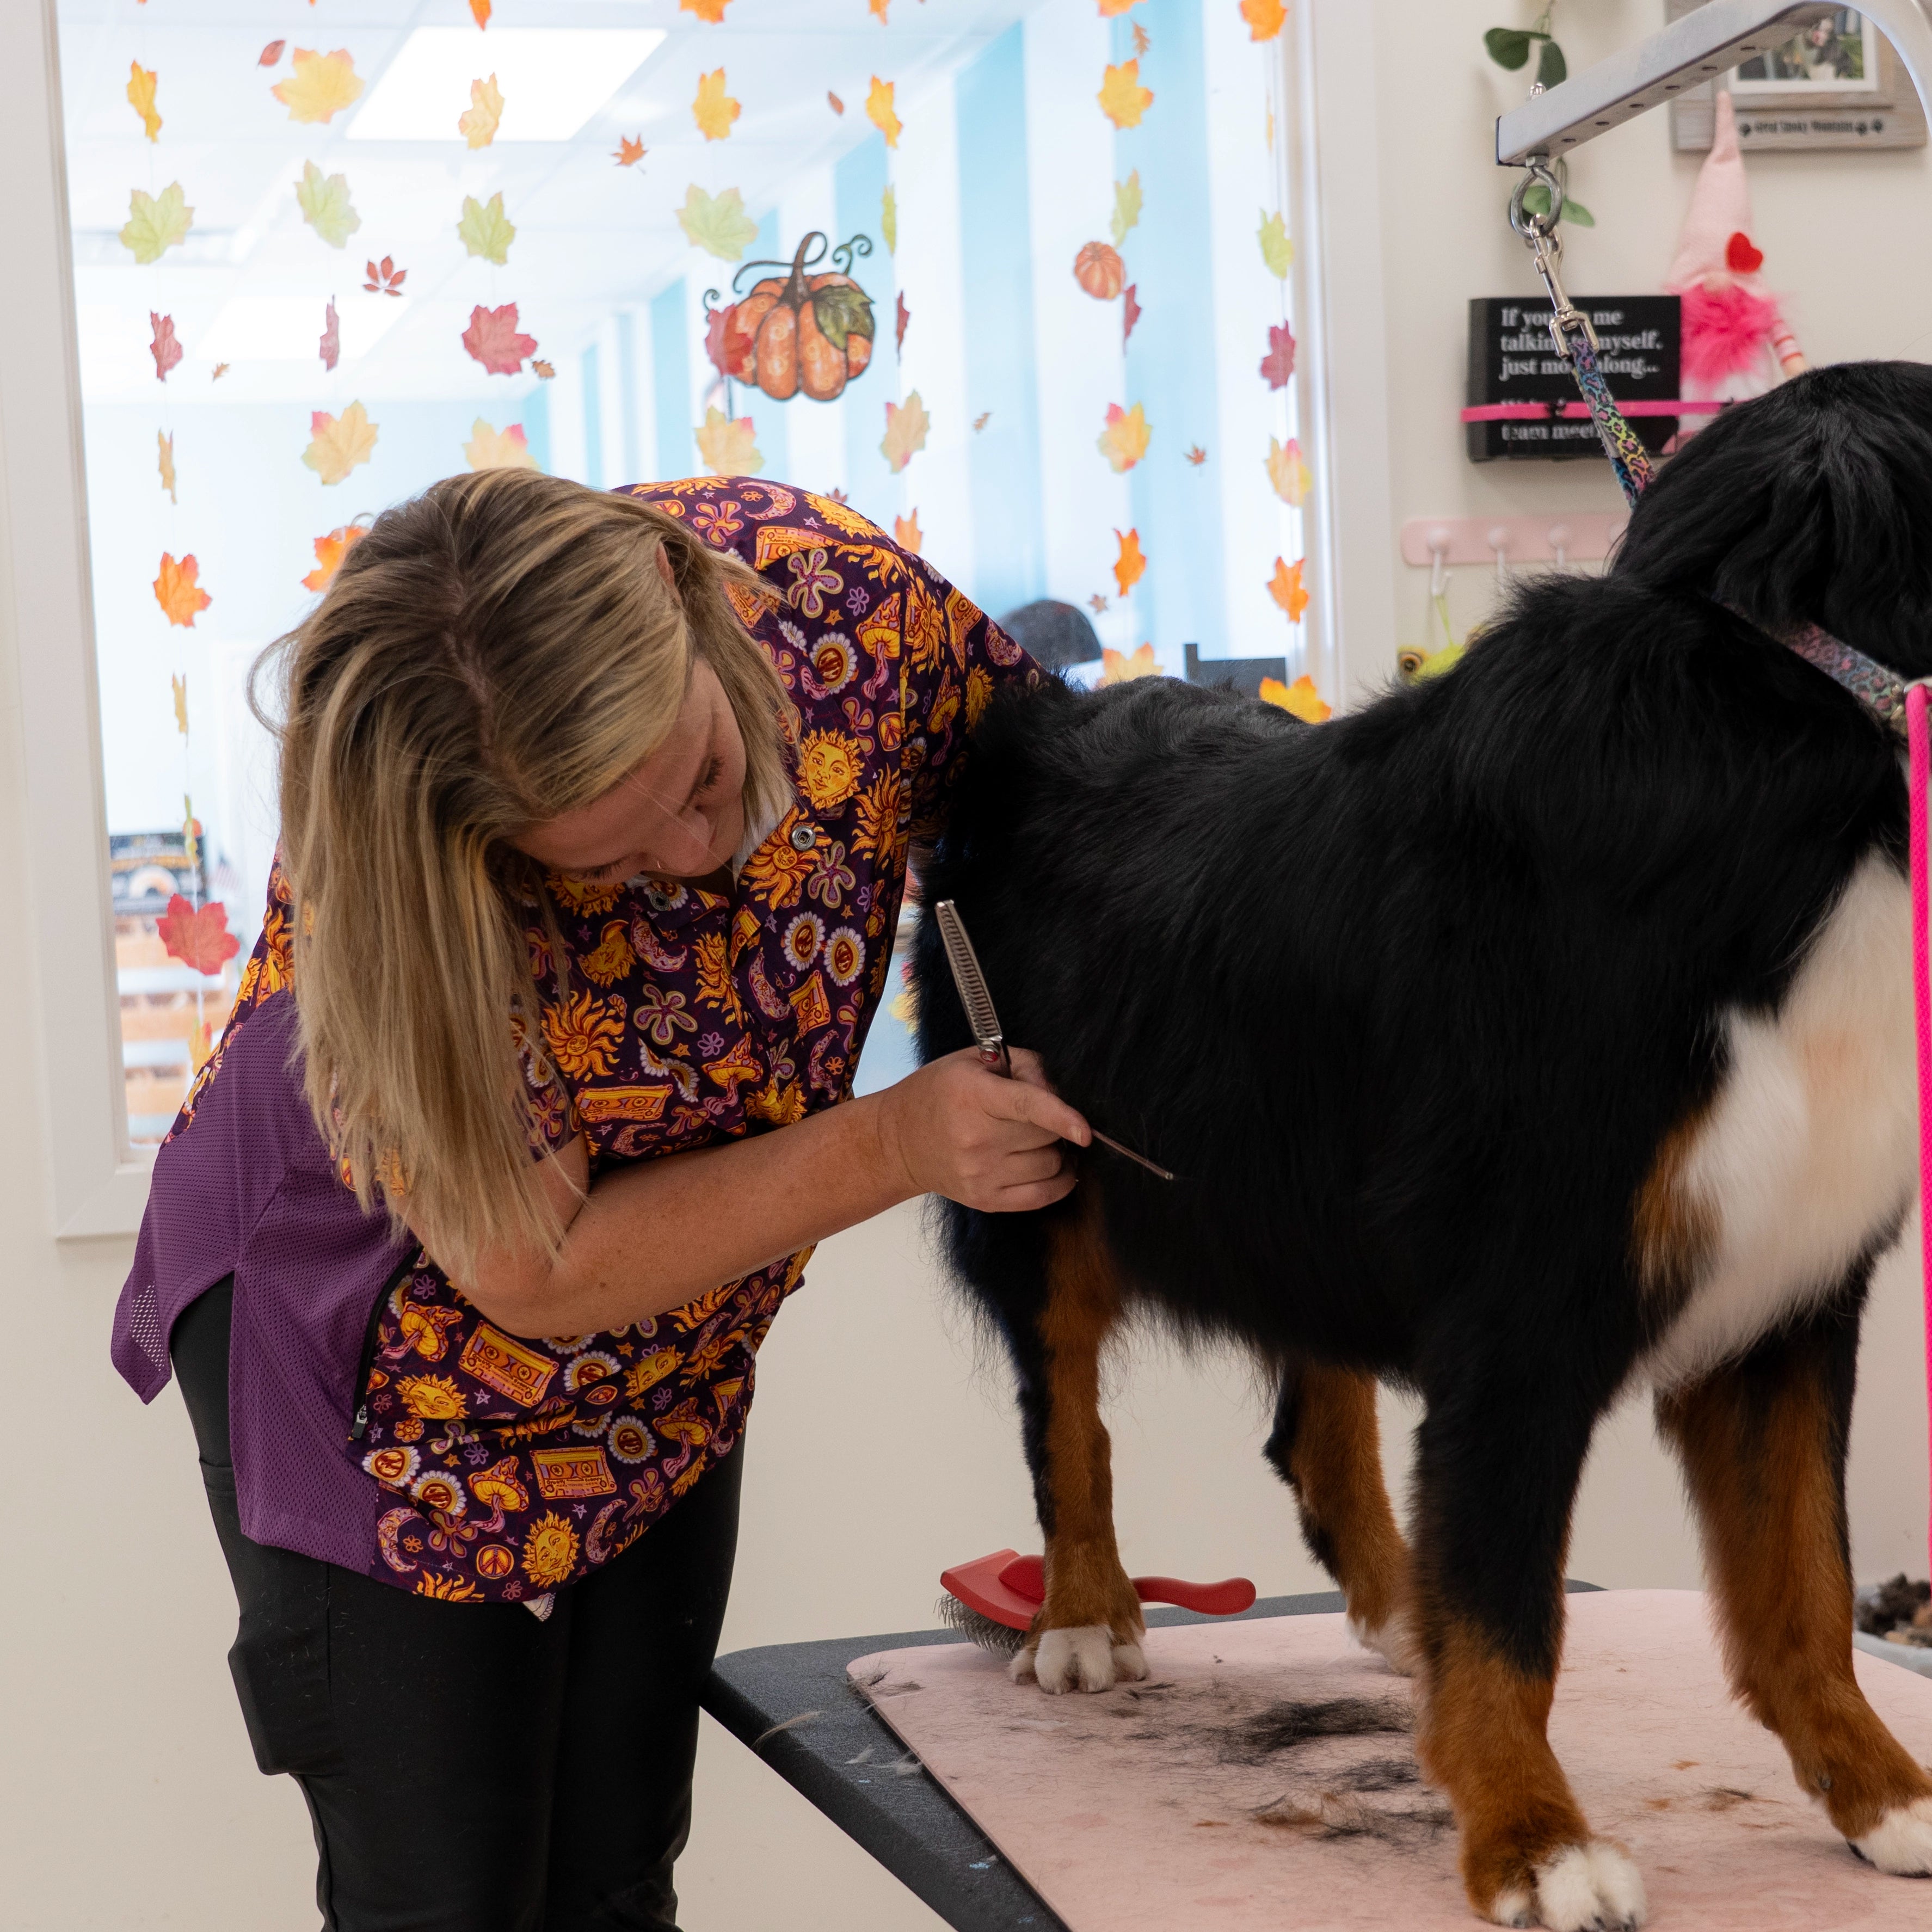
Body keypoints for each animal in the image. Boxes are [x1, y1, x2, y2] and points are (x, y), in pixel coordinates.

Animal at [912, 361, 1932, 1929]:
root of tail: (1044, 716)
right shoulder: (1528, 1296)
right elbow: (1515, 1613)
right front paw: (1531, 1837)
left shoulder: (1788, 1289)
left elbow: (1802, 1585)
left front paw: (1877, 1792)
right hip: (1033, 1166)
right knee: (1064, 1406)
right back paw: (1085, 1612)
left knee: (1309, 1413)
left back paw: (1397, 1604)